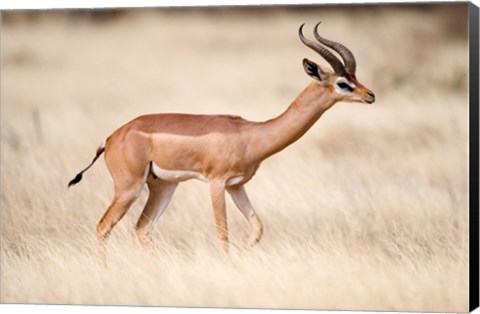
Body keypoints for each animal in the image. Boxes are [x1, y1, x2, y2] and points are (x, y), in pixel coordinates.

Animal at [67, 22, 376, 260]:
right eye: (343, 83)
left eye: (355, 77)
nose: (370, 95)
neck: (250, 134)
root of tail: (111, 137)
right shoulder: (216, 184)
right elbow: (223, 235)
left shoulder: (236, 186)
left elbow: (257, 228)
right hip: (128, 188)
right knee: (103, 227)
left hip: (164, 187)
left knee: (142, 228)